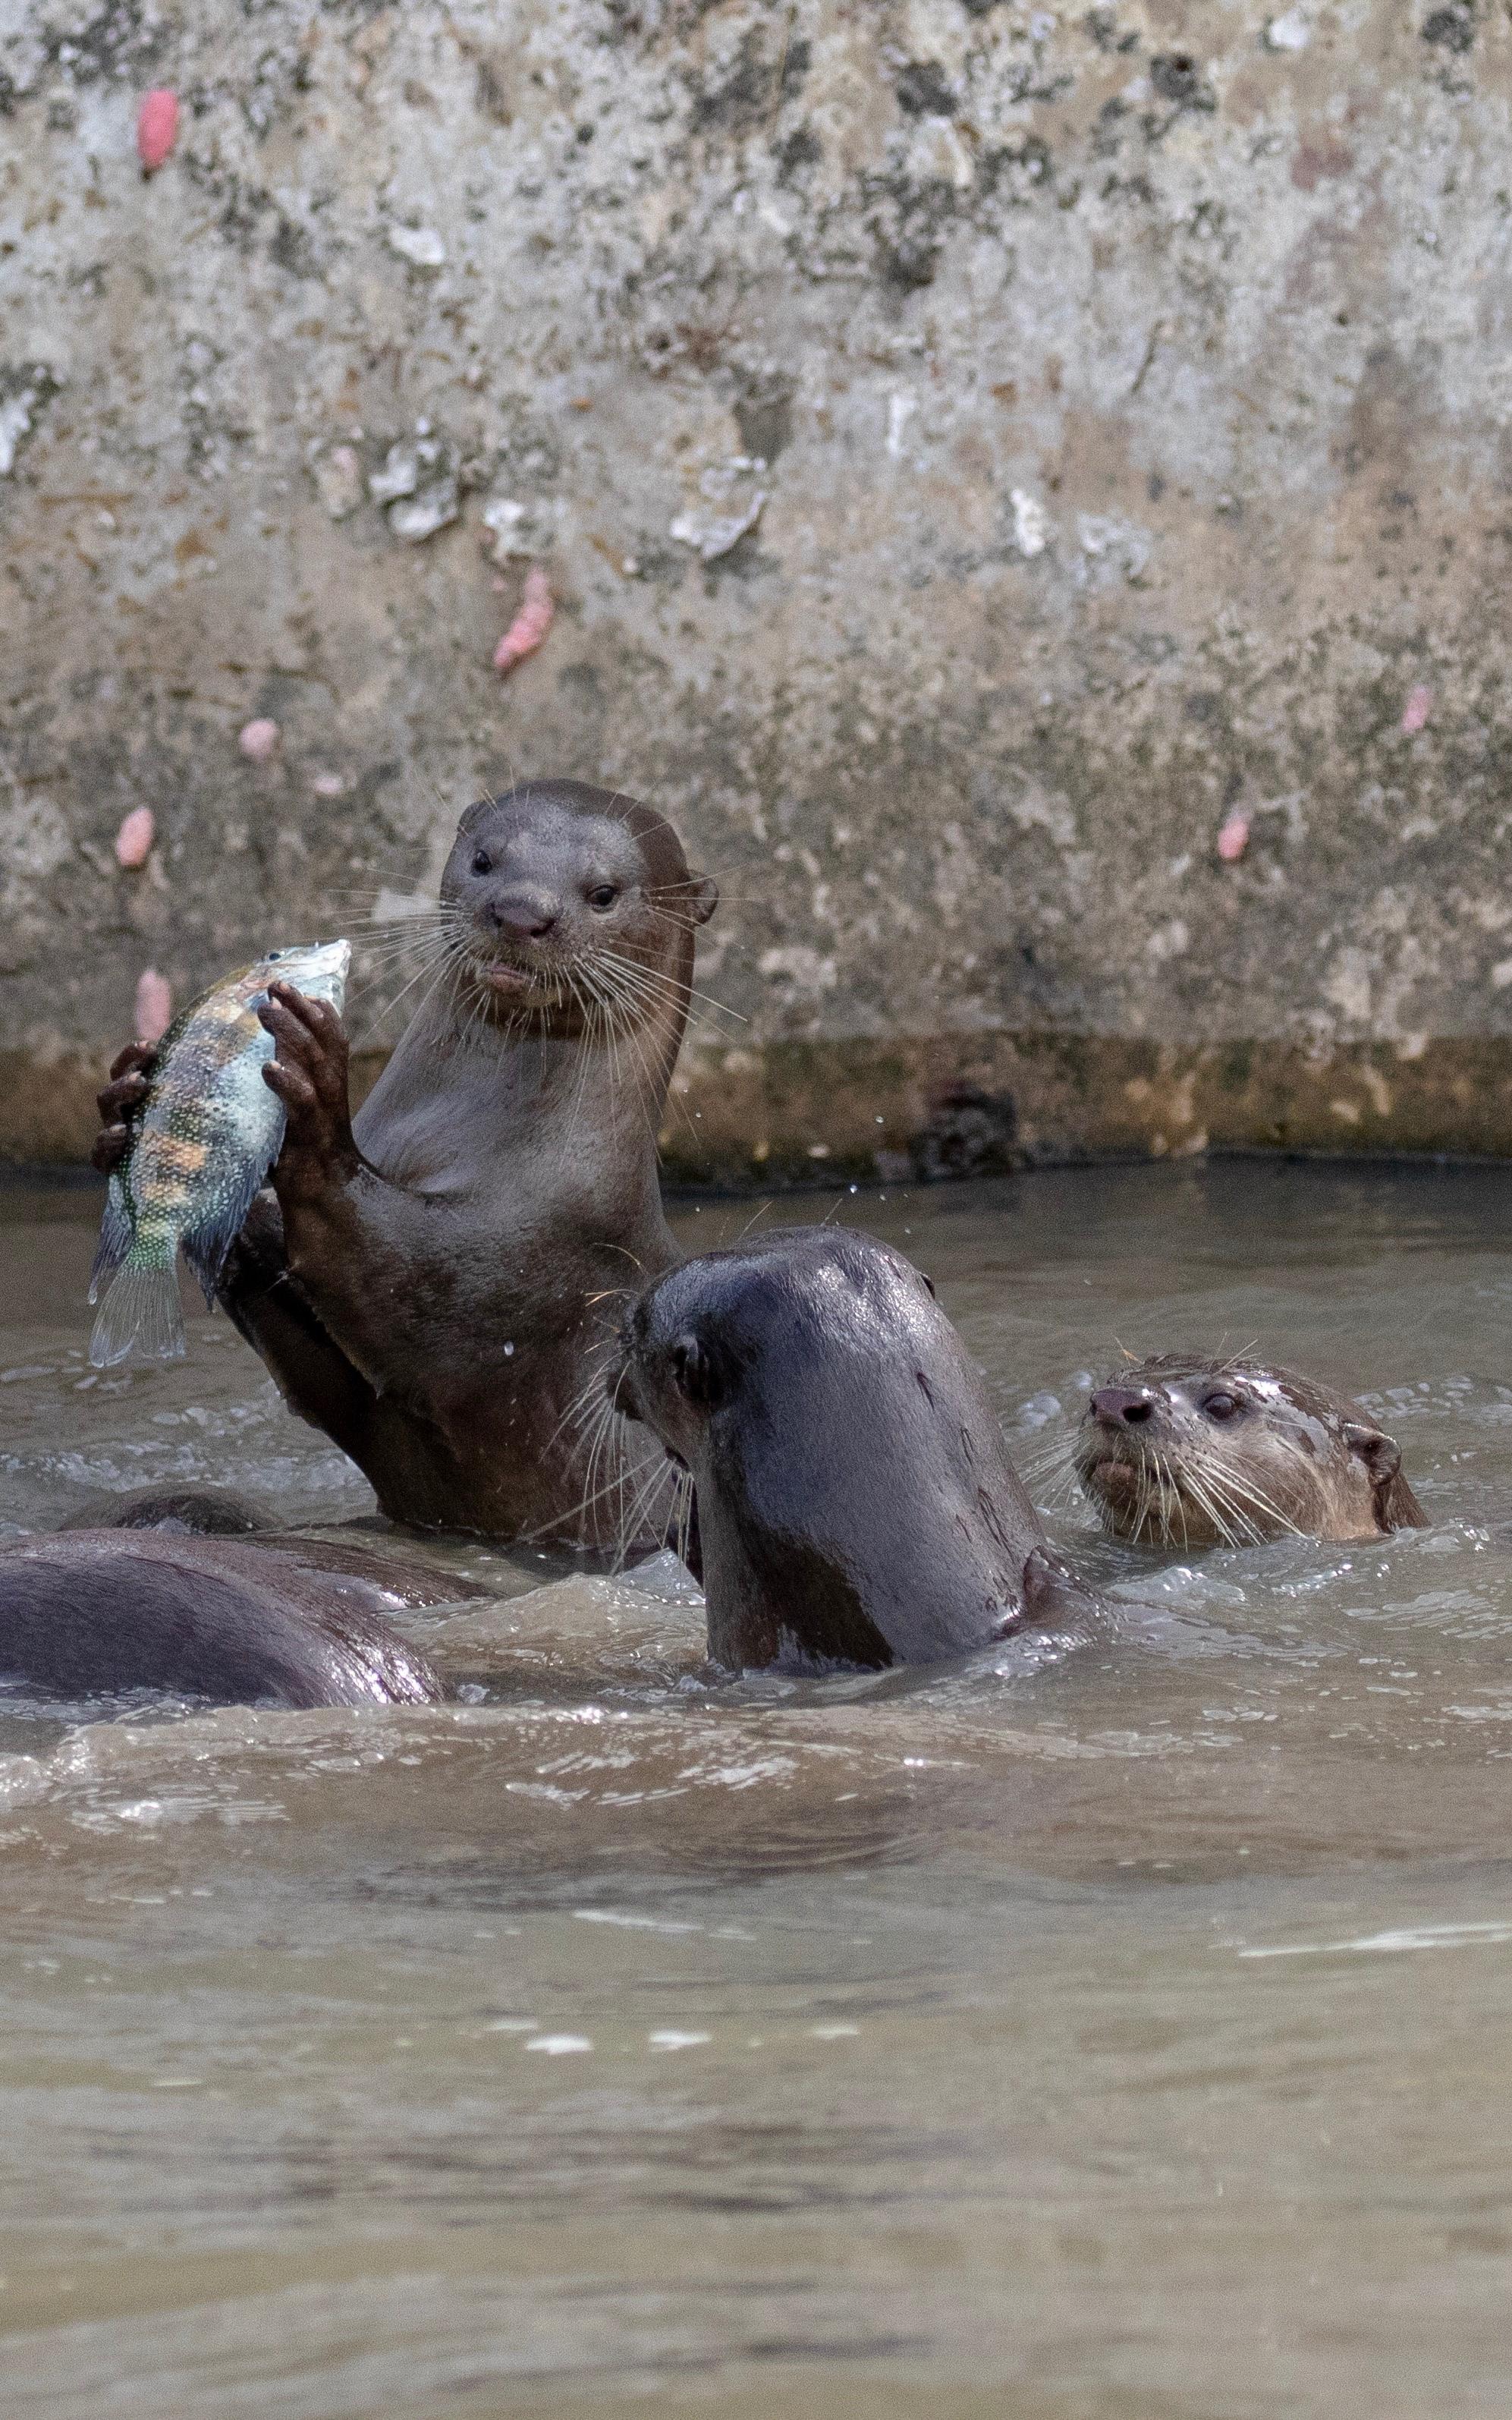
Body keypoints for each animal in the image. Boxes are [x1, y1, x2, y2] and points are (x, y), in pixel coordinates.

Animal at [94, 793, 721, 1548]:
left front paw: (317, 1089)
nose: (520, 911)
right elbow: (322, 1382)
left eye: (603, 893)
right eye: (483, 859)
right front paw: (125, 1099)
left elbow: (388, 1278)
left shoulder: (510, 1269)